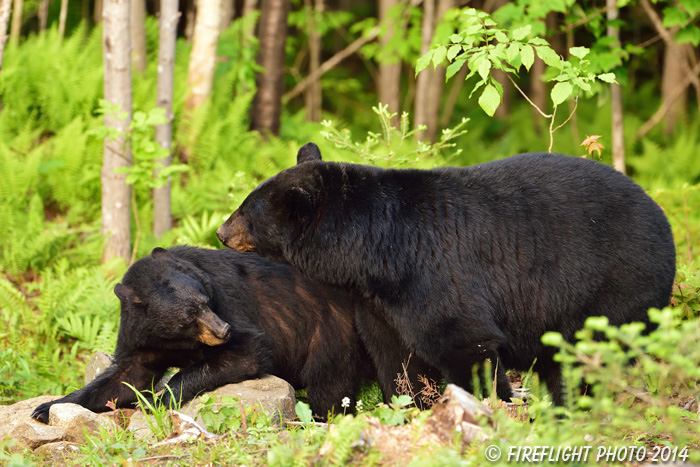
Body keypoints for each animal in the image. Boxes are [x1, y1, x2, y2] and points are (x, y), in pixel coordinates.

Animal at [33, 249, 380, 424]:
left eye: (205, 301)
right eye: (188, 316)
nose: (222, 330)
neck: (173, 340)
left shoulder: (229, 304)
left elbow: (250, 350)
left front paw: (158, 400)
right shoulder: (140, 338)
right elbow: (123, 378)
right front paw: (46, 408)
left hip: (330, 335)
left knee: (330, 389)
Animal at [219, 144, 680, 404]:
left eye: (247, 210)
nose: (221, 232)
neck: (374, 249)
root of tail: (664, 218)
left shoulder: (434, 273)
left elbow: (462, 338)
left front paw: (492, 401)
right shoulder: (380, 303)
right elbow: (396, 354)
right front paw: (410, 404)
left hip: (614, 286)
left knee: (592, 354)